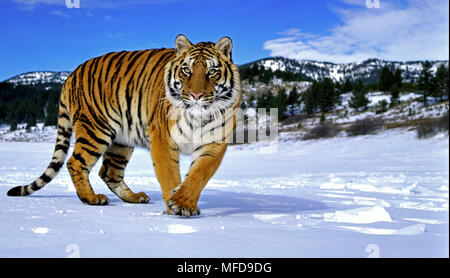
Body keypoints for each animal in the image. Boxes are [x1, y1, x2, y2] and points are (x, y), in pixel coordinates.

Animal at [7, 34, 241, 217]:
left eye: (211, 72)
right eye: (186, 70)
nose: (196, 95)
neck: (198, 116)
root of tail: (71, 74)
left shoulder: (215, 142)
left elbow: (198, 174)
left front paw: (184, 203)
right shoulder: (163, 139)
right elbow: (169, 175)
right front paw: (173, 207)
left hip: (122, 140)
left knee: (109, 171)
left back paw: (134, 197)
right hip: (96, 130)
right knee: (75, 162)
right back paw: (91, 198)